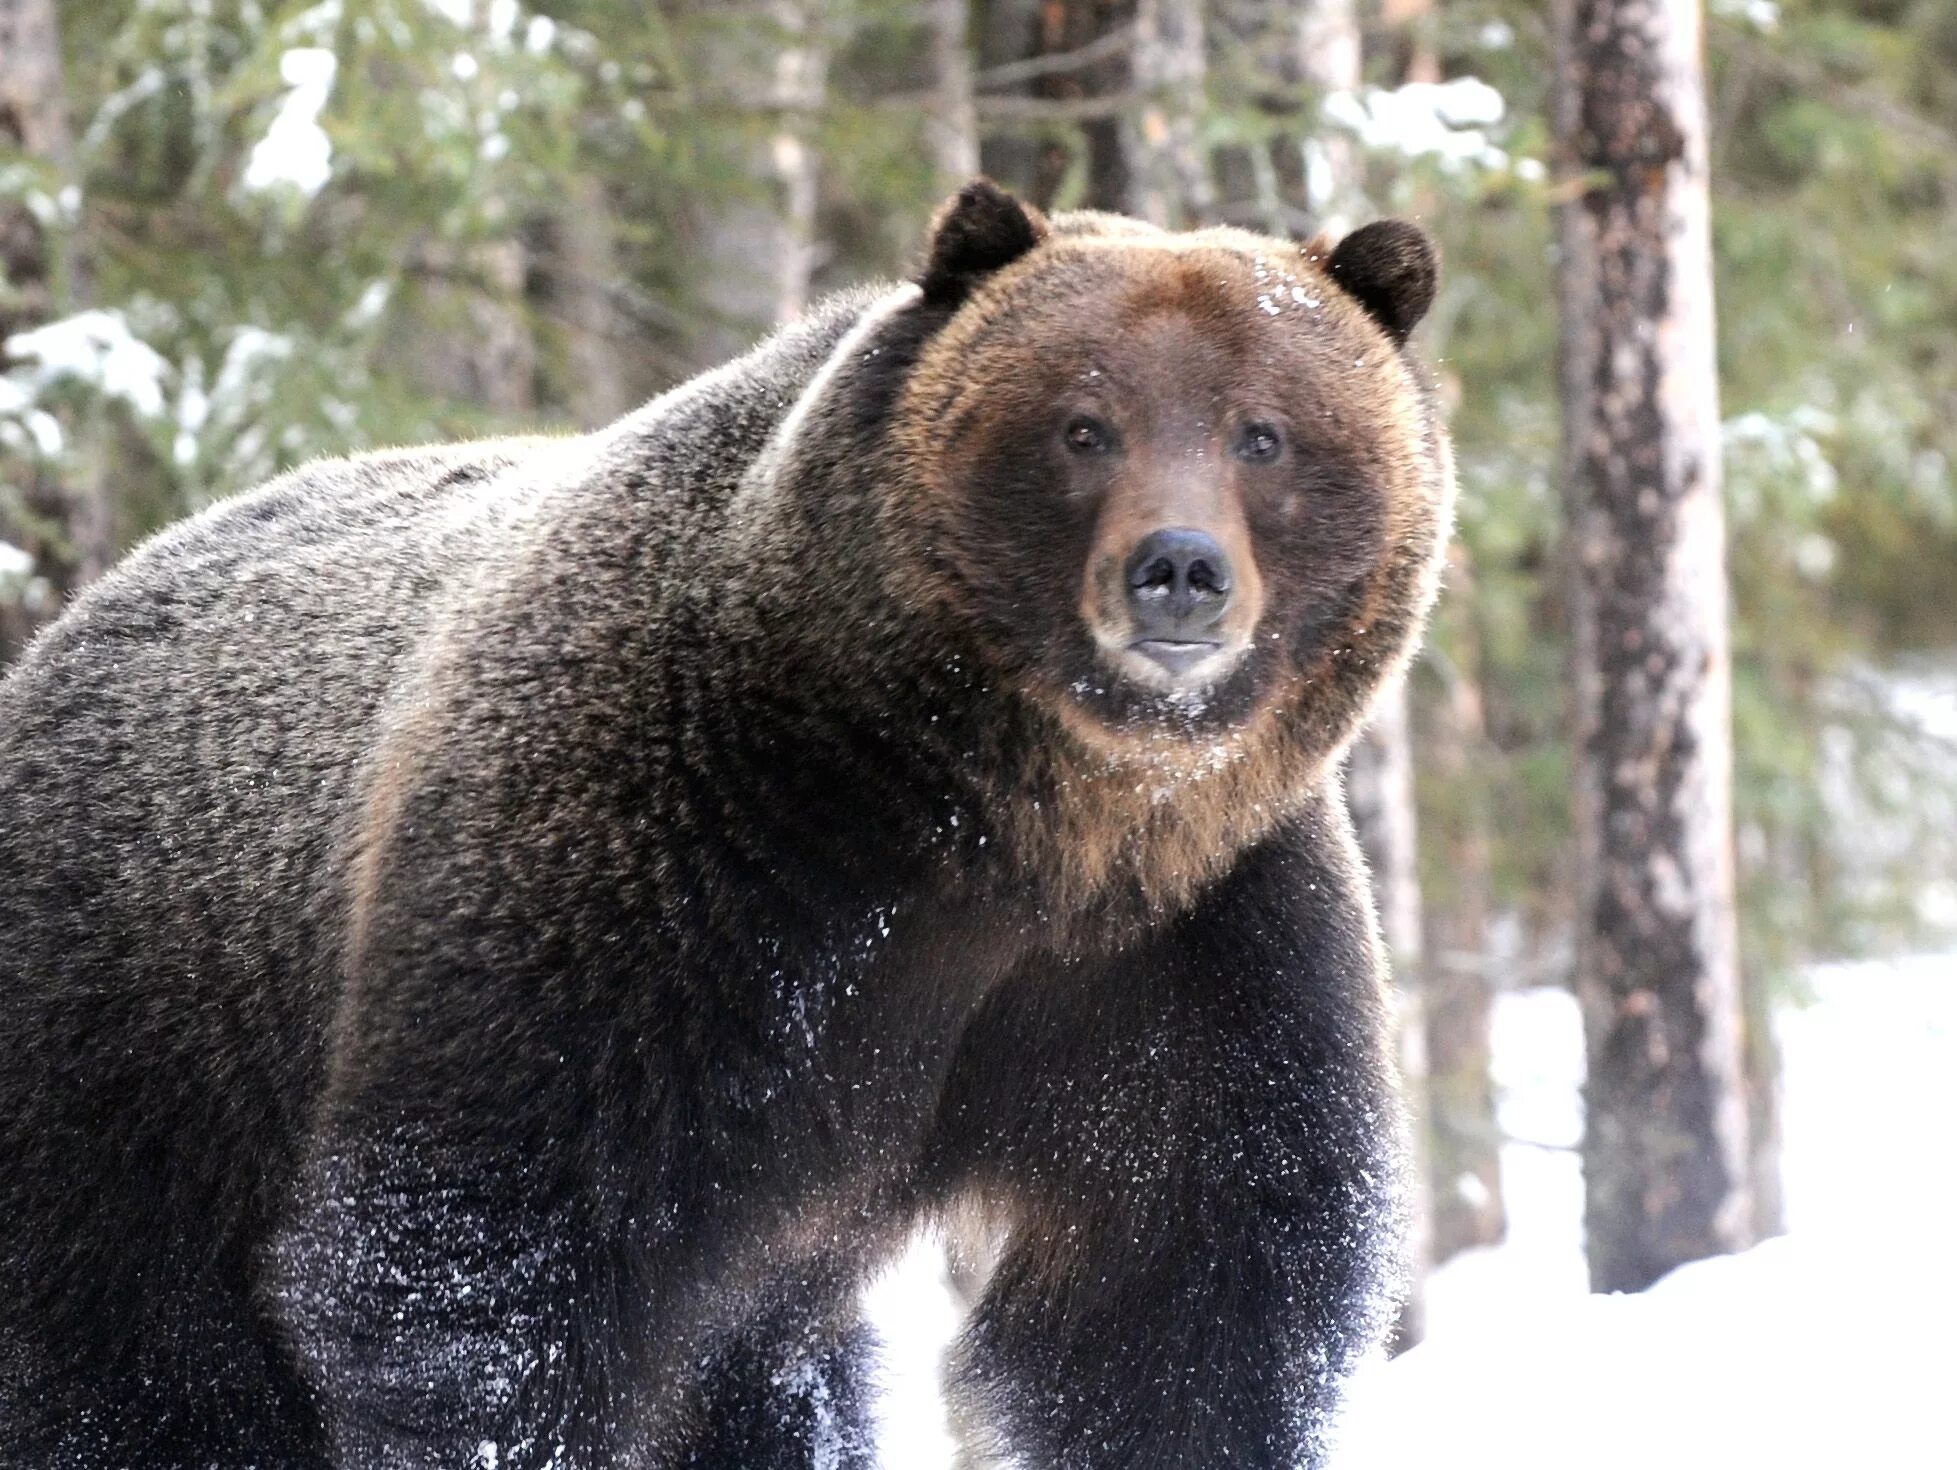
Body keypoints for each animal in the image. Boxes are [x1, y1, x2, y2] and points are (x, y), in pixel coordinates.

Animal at [0, 183, 1456, 1470]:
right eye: (1081, 423)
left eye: (1262, 432)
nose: (1179, 571)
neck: (1002, 821)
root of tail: (67, 630)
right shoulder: (670, 874)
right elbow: (485, 1264)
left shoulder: (1176, 952)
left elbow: (1178, 1301)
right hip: (139, 1053)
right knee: (136, 1362)